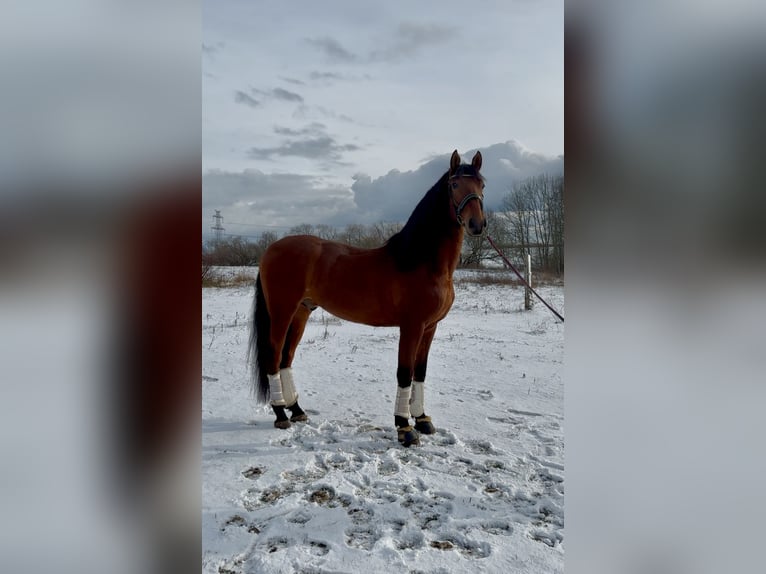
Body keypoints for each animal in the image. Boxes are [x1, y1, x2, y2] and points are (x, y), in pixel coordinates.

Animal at [249, 151, 488, 448]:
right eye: (455, 185)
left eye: (482, 185)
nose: (477, 224)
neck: (421, 262)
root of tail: (271, 249)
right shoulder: (412, 327)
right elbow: (404, 372)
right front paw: (404, 427)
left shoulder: (430, 327)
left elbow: (420, 372)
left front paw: (422, 420)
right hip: (282, 311)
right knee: (273, 355)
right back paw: (281, 413)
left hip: (301, 312)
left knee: (286, 358)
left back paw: (297, 410)